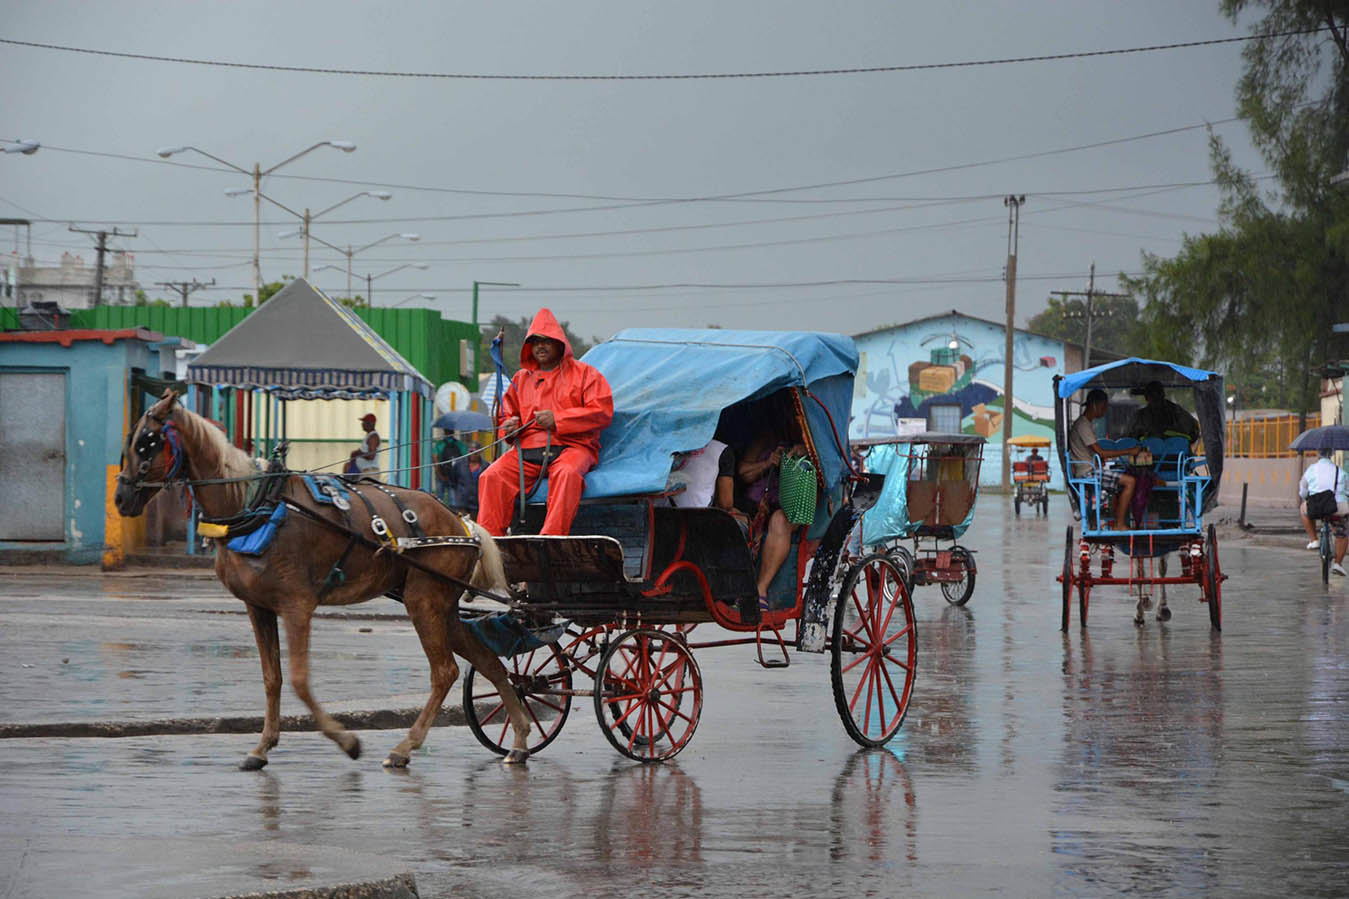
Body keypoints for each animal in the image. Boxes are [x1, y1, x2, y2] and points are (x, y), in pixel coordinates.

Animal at [113, 388, 531, 766]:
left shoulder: (297, 605)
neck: (255, 504)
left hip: (424, 600)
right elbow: (273, 677)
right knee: (489, 662)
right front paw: (262, 747)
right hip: (442, 604)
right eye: (130, 442)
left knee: (444, 672)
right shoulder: (257, 607)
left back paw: (405, 747)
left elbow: (299, 679)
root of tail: (461, 523)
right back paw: (520, 739)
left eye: (147, 444)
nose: (120, 498)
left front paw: (346, 740)